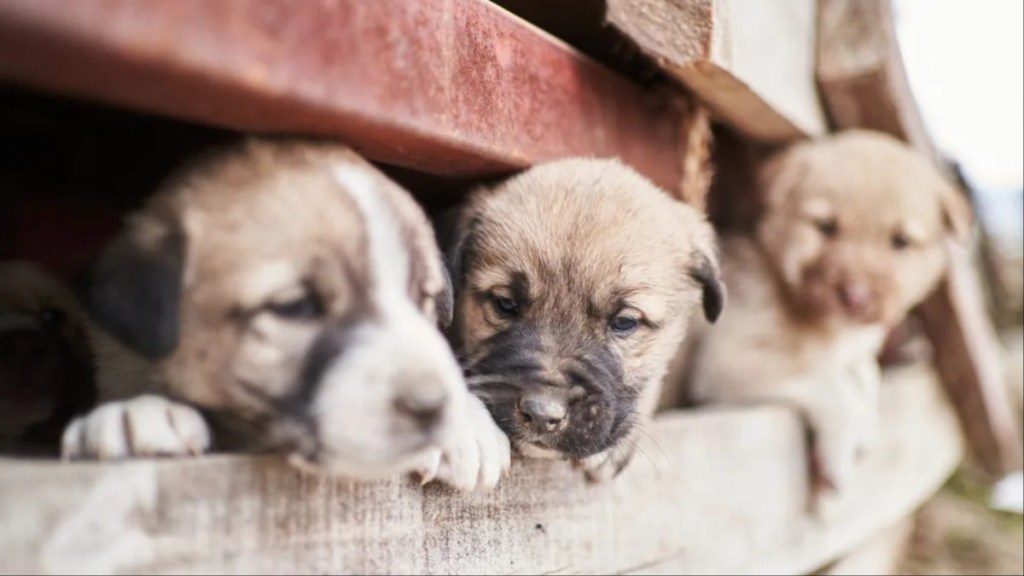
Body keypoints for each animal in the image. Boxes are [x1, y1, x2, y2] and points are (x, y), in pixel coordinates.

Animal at [688, 129, 966, 502]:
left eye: (900, 241)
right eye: (825, 226)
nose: (855, 297)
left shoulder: (854, 353)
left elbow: (867, 374)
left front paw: (868, 423)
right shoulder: (727, 359)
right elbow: (832, 388)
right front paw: (842, 451)